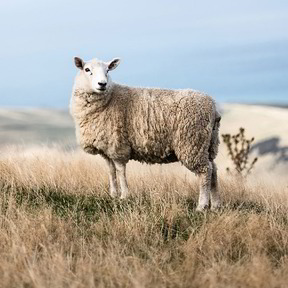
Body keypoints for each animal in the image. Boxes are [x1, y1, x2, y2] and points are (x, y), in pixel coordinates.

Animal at [70, 56, 220, 210]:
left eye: (107, 71)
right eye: (87, 69)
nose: (102, 84)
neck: (109, 99)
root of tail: (213, 107)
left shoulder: (118, 146)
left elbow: (120, 171)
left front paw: (124, 196)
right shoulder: (106, 149)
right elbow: (111, 171)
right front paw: (113, 195)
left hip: (192, 143)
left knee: (205, 172)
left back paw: (202, 206)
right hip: (208, 144)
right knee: (213, 170)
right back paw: (215, 205)